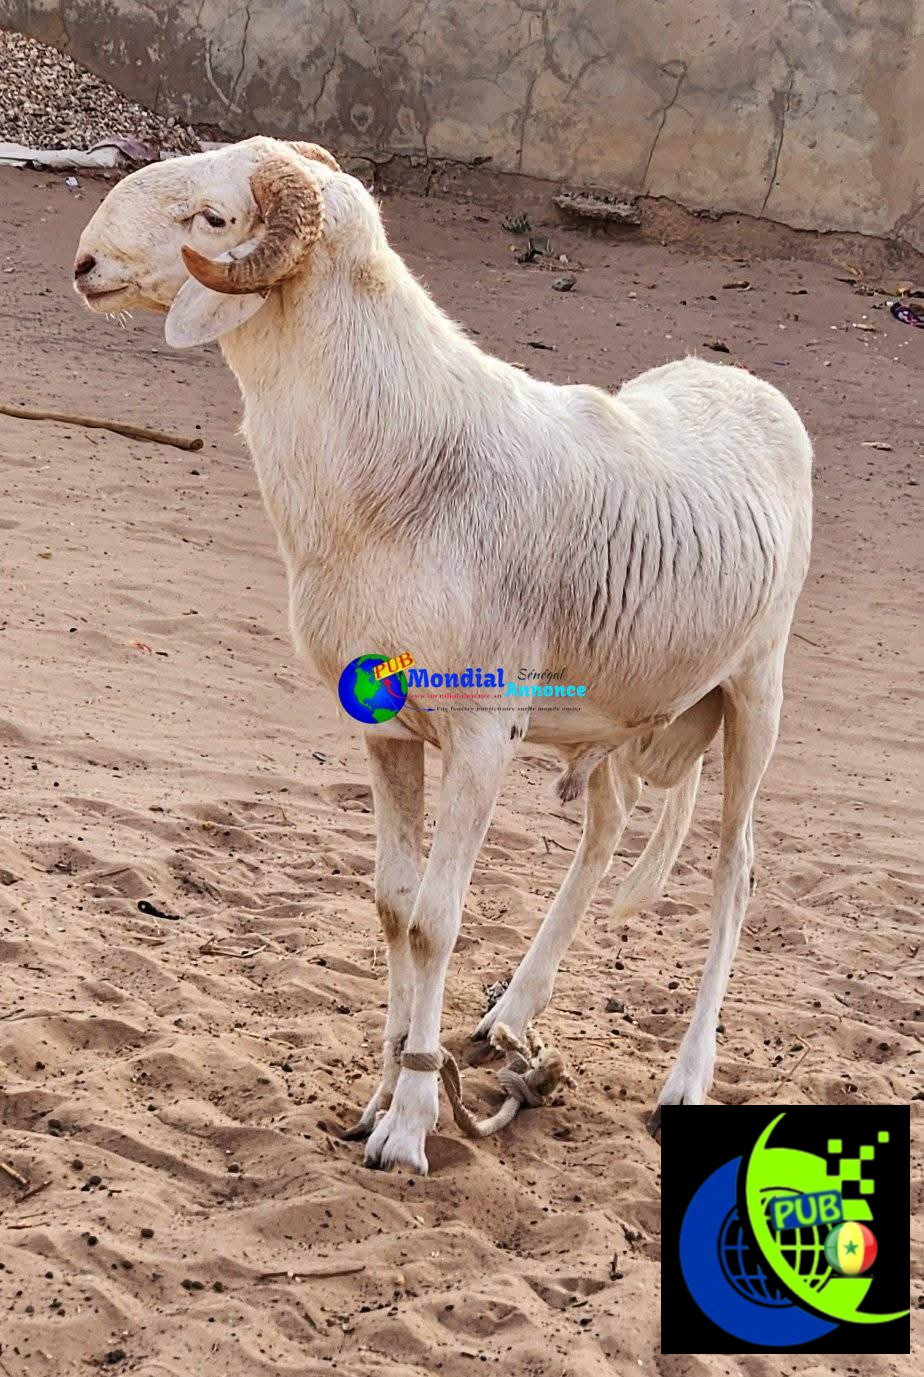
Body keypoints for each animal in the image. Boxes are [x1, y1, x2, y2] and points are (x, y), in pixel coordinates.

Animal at [73, 135, 813, 1174]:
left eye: (213, 218)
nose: (85, 265)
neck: (400, 467)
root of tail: (755, 390)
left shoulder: (480, 738)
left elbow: (435, 920)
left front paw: (412, 1125)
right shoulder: (384, 729)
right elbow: (392, 903)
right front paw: (380, 1096)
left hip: (756, 694)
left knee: (733, 874)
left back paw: (685, 1077)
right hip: (616, 712)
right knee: (606, 828)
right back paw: (509, 1022)